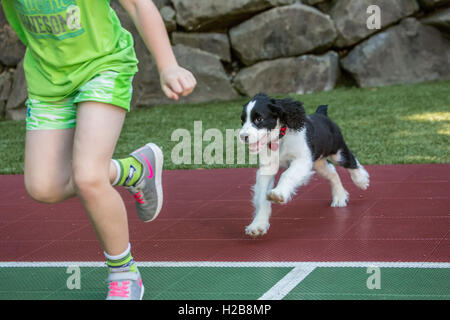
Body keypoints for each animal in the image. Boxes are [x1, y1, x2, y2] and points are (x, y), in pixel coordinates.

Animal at [239, 93, 370, 238]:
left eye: (259, 119)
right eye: (242, 121)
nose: (242, 136)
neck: (281, 139)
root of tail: (321, 114)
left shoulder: (302, 160)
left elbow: (287, 174)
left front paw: (278, 193)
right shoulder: (267, 168)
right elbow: (262, 197)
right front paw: (258, 225)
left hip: (337, 152)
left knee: (350, 161)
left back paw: (361, 180)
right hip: (318, 163)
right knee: (332, 172)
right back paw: (339, 197)